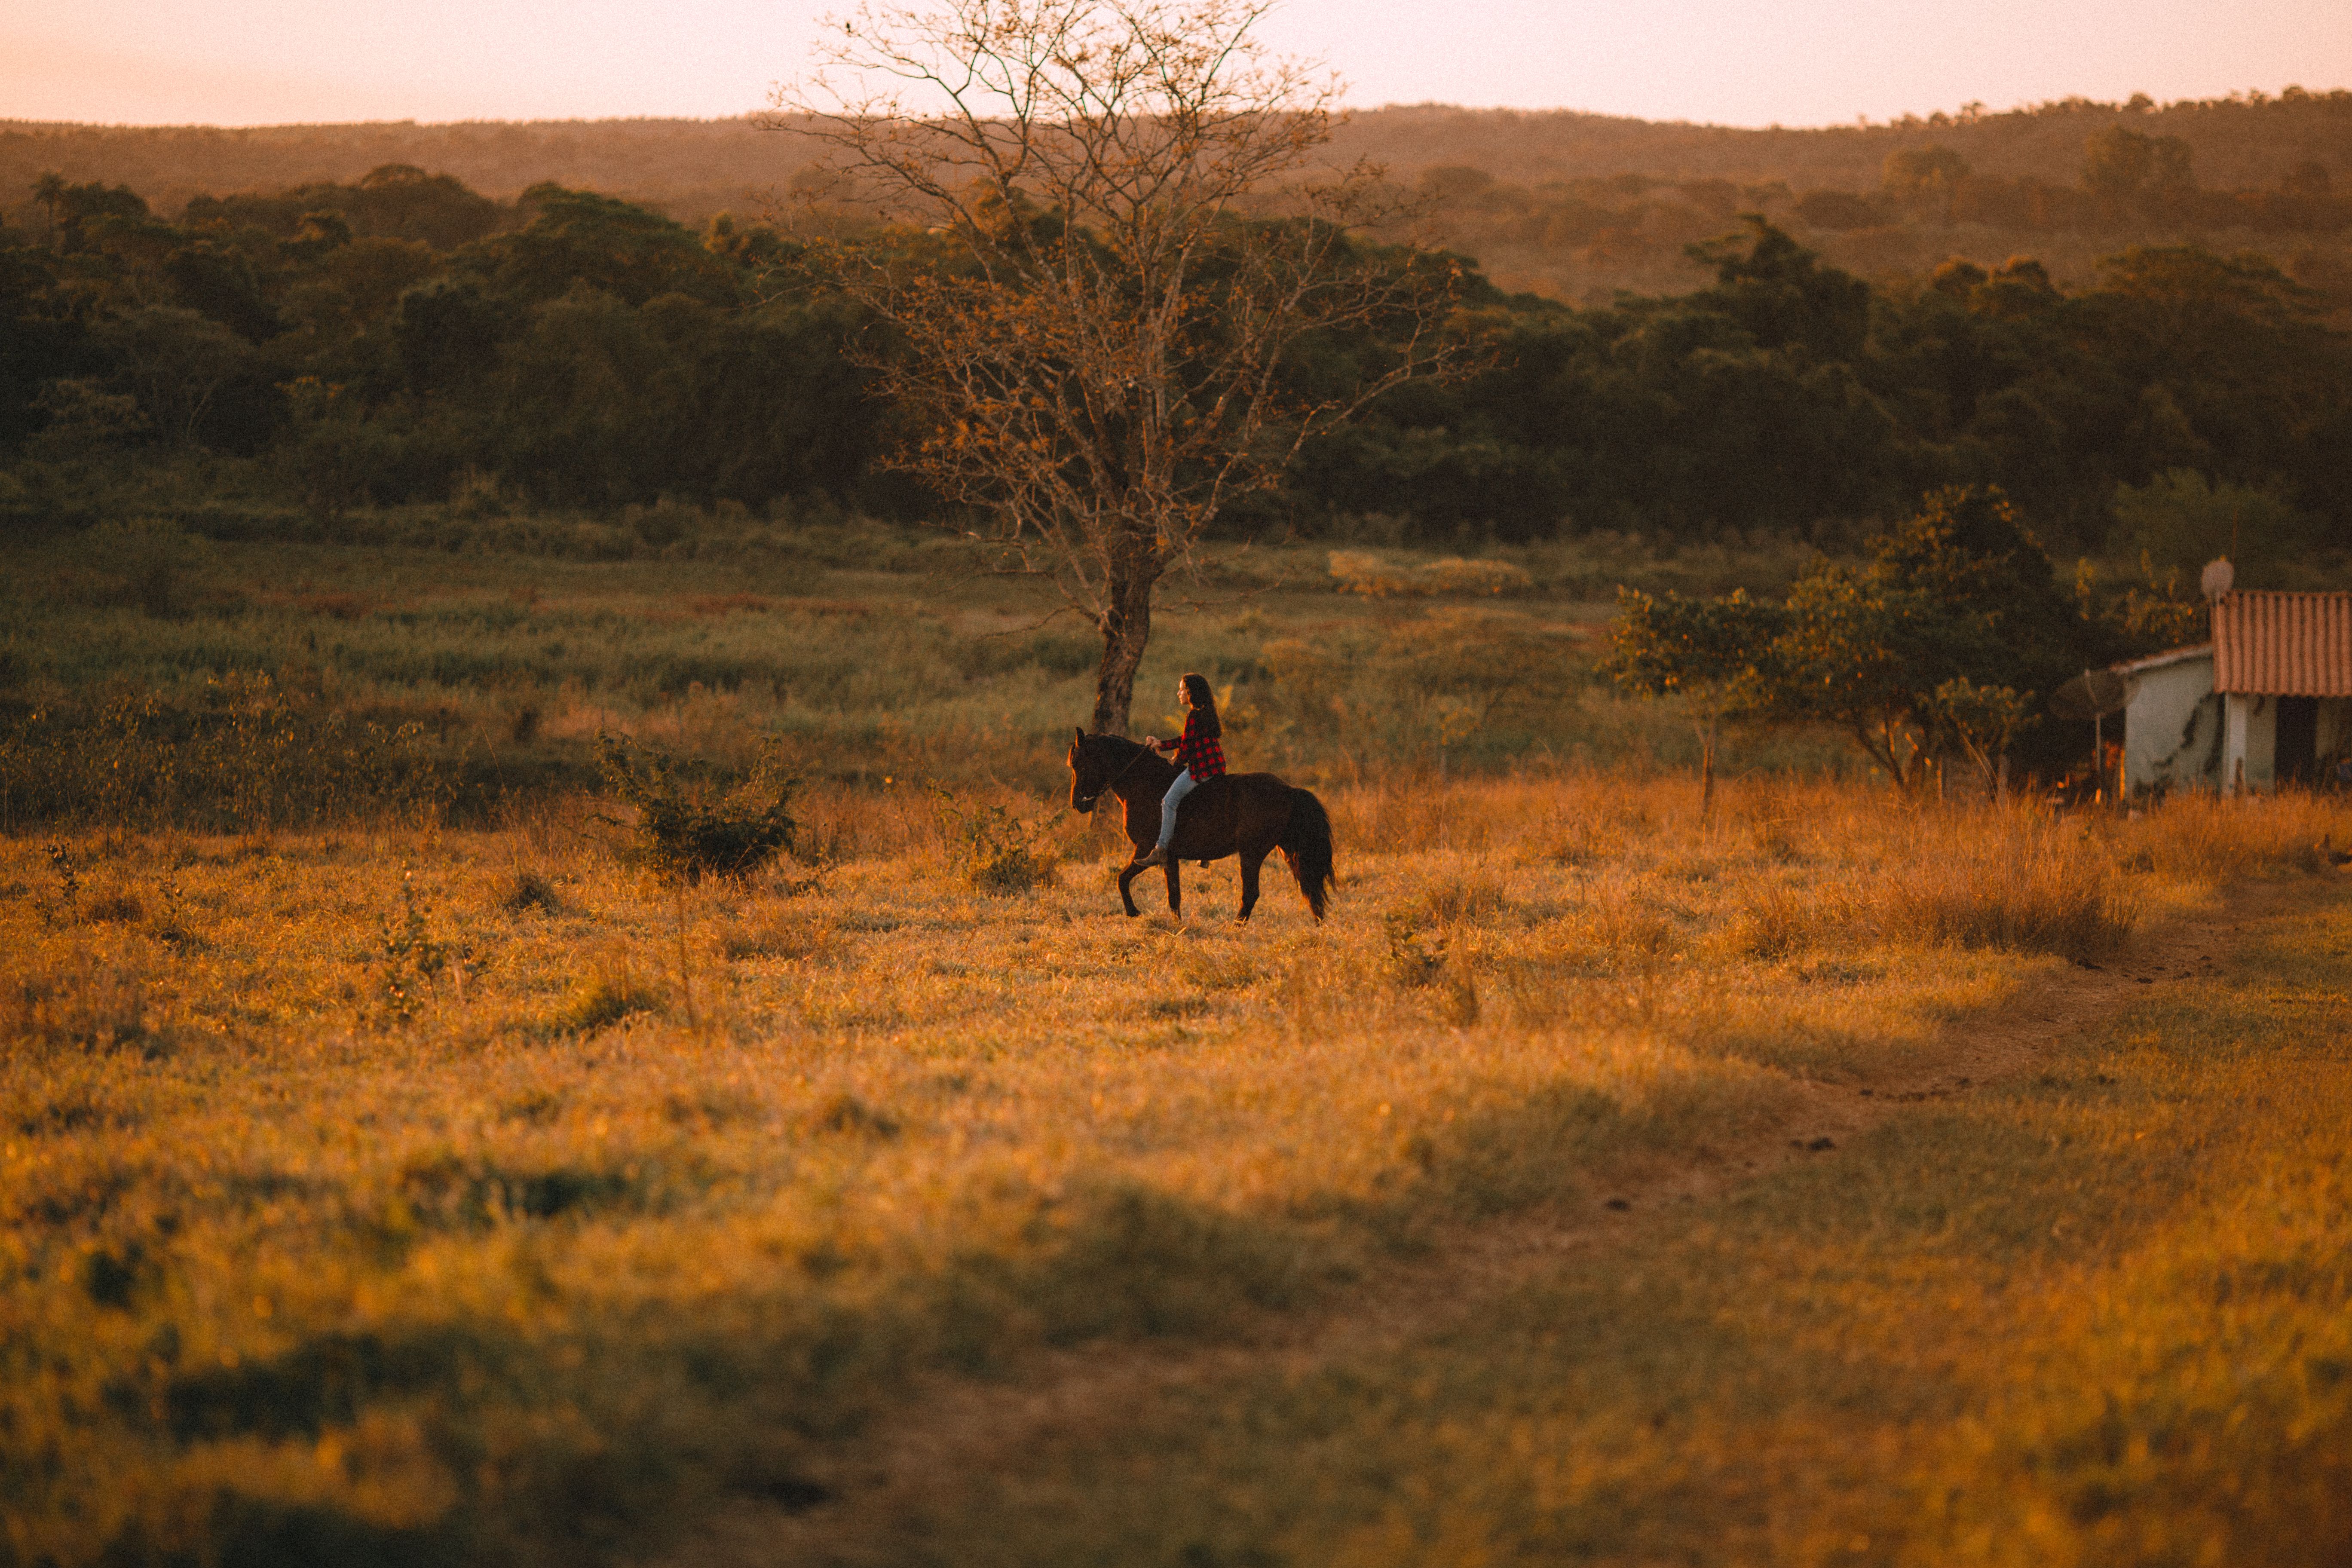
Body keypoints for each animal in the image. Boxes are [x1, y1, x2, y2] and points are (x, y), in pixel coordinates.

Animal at [1065, 729, 1335, 921]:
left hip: (1252, 853)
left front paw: (1134, 912)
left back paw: (1234, 928)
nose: (1077, 803)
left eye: (1079, 764)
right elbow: (1174, 896)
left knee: (1251, 894)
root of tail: (1289, 791)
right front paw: (1178, 927)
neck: (1144, 784)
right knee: (1308, 885)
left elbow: (1122, 879)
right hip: (1287, 850)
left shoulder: (1146, 849)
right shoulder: (1169, 857)